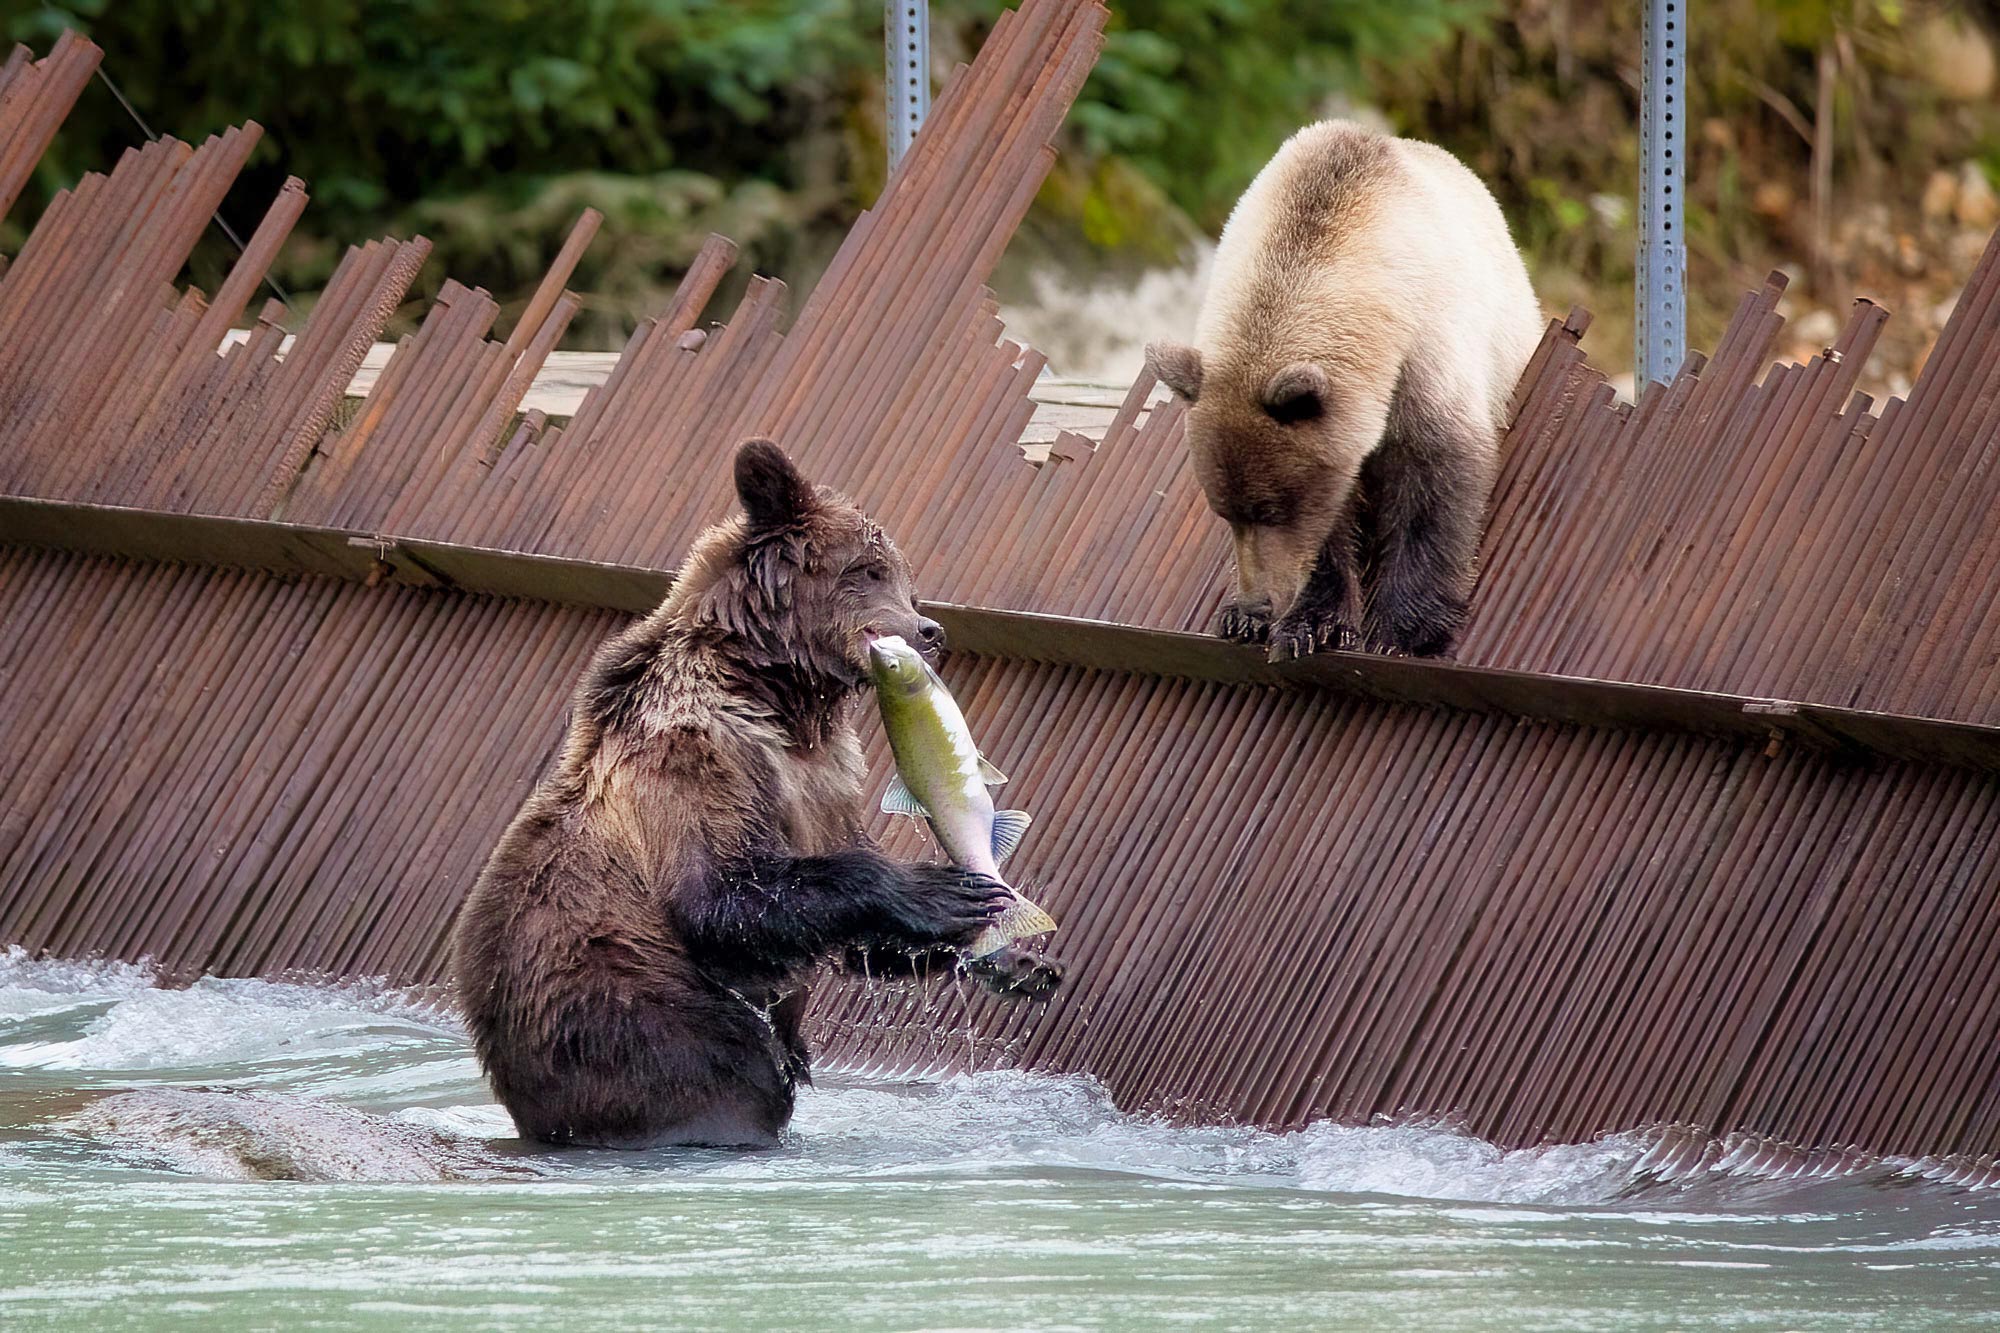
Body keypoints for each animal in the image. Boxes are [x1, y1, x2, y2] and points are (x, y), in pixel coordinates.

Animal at [446, 436, 1056, 1144]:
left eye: (904, 577)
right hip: (634, 1012)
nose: (930, 630)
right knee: (720, 1072)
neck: (779, 693)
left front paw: (1019, 960)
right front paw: (934, 890)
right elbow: (718, 894)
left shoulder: (825, 777)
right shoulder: (700, 756)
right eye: (868, 570)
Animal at [1144, 119, 1544, 660]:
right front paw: (1309, 625)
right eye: (1225, 512)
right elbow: (1331, 526)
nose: (1259, 602)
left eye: (1271, 509)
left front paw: (1408, 633)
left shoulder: (1425, 350)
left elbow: (1434, 476)